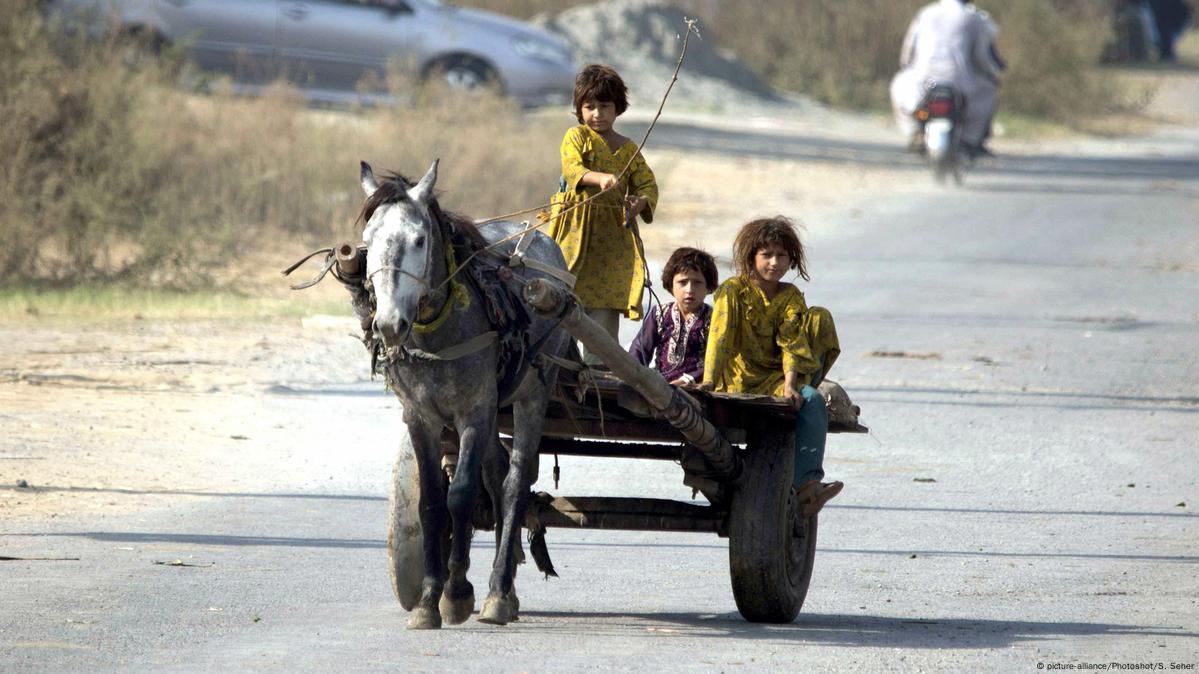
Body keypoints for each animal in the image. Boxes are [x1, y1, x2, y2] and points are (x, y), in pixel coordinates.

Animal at [350, 159, 570, 628]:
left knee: (514, 483)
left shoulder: (474, 412)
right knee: (496, 474)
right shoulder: (421, 416)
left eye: (419, 239)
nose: (389, 324)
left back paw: (499, 593)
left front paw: (456, 592)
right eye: (367, 241)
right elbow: (433, 503)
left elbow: (462, 495)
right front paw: (428, 598)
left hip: (532, 393)